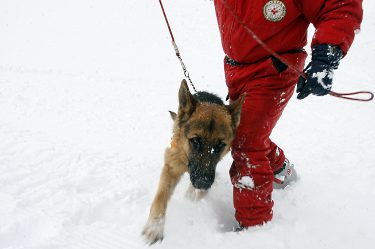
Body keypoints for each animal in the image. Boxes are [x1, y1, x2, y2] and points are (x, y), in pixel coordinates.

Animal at [142, 80, 245, 245]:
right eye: (195, 140)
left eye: (220, 145)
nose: (202, 183)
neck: (187, 160)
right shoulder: (172, 165)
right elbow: (160, 198)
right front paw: (154, 227)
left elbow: (199, 194)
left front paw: (192, 197)